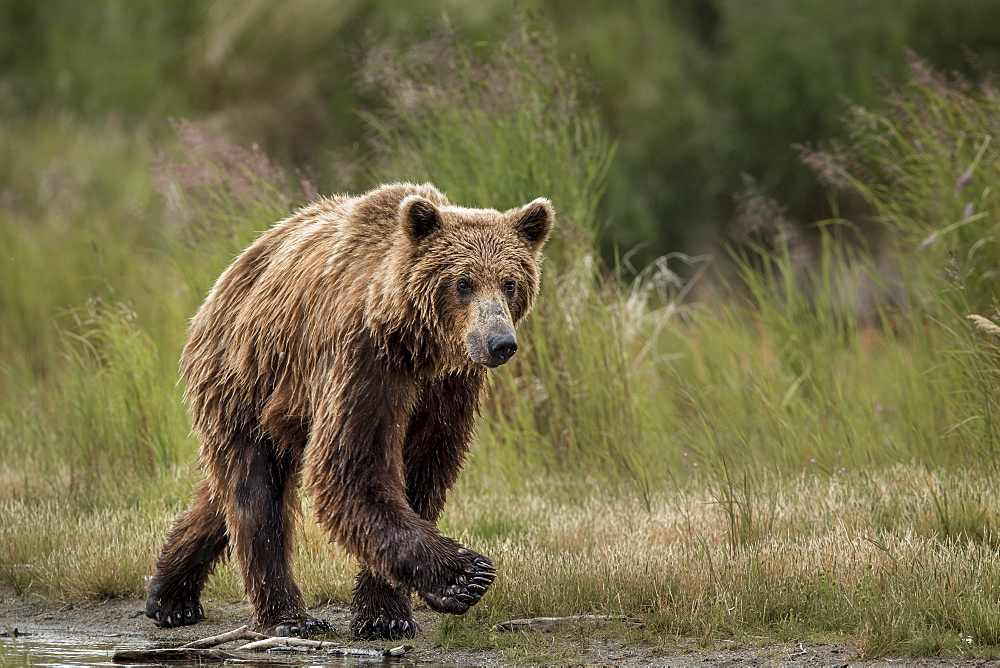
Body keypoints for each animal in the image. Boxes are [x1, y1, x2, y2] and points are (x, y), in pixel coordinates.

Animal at [145, 183, 556, 640]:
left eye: (510, 283)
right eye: (463, 282)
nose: (500, 342)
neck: (417, 346)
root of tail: (231, 274)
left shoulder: (448, 389)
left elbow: (422, 470)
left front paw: (386, 613)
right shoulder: (363, 362)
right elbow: (351, 468)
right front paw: (465, 576)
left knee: (220, 497)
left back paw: (169, 594)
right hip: (245, 378)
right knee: (255, 493)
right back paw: (288, 617)